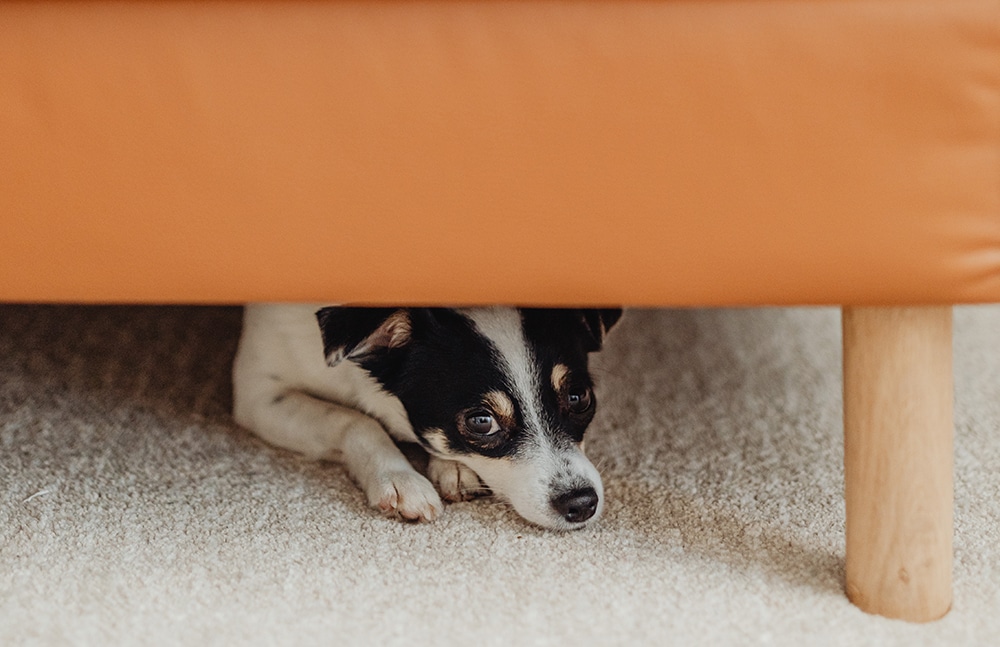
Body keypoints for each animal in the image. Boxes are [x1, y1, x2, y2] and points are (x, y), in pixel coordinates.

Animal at [234, 306, 620, 528]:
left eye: (578, 398)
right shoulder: (258, 394)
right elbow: (356, 420)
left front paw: (453, 467)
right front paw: (400, 478)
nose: (581, 503)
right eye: (482, 422)